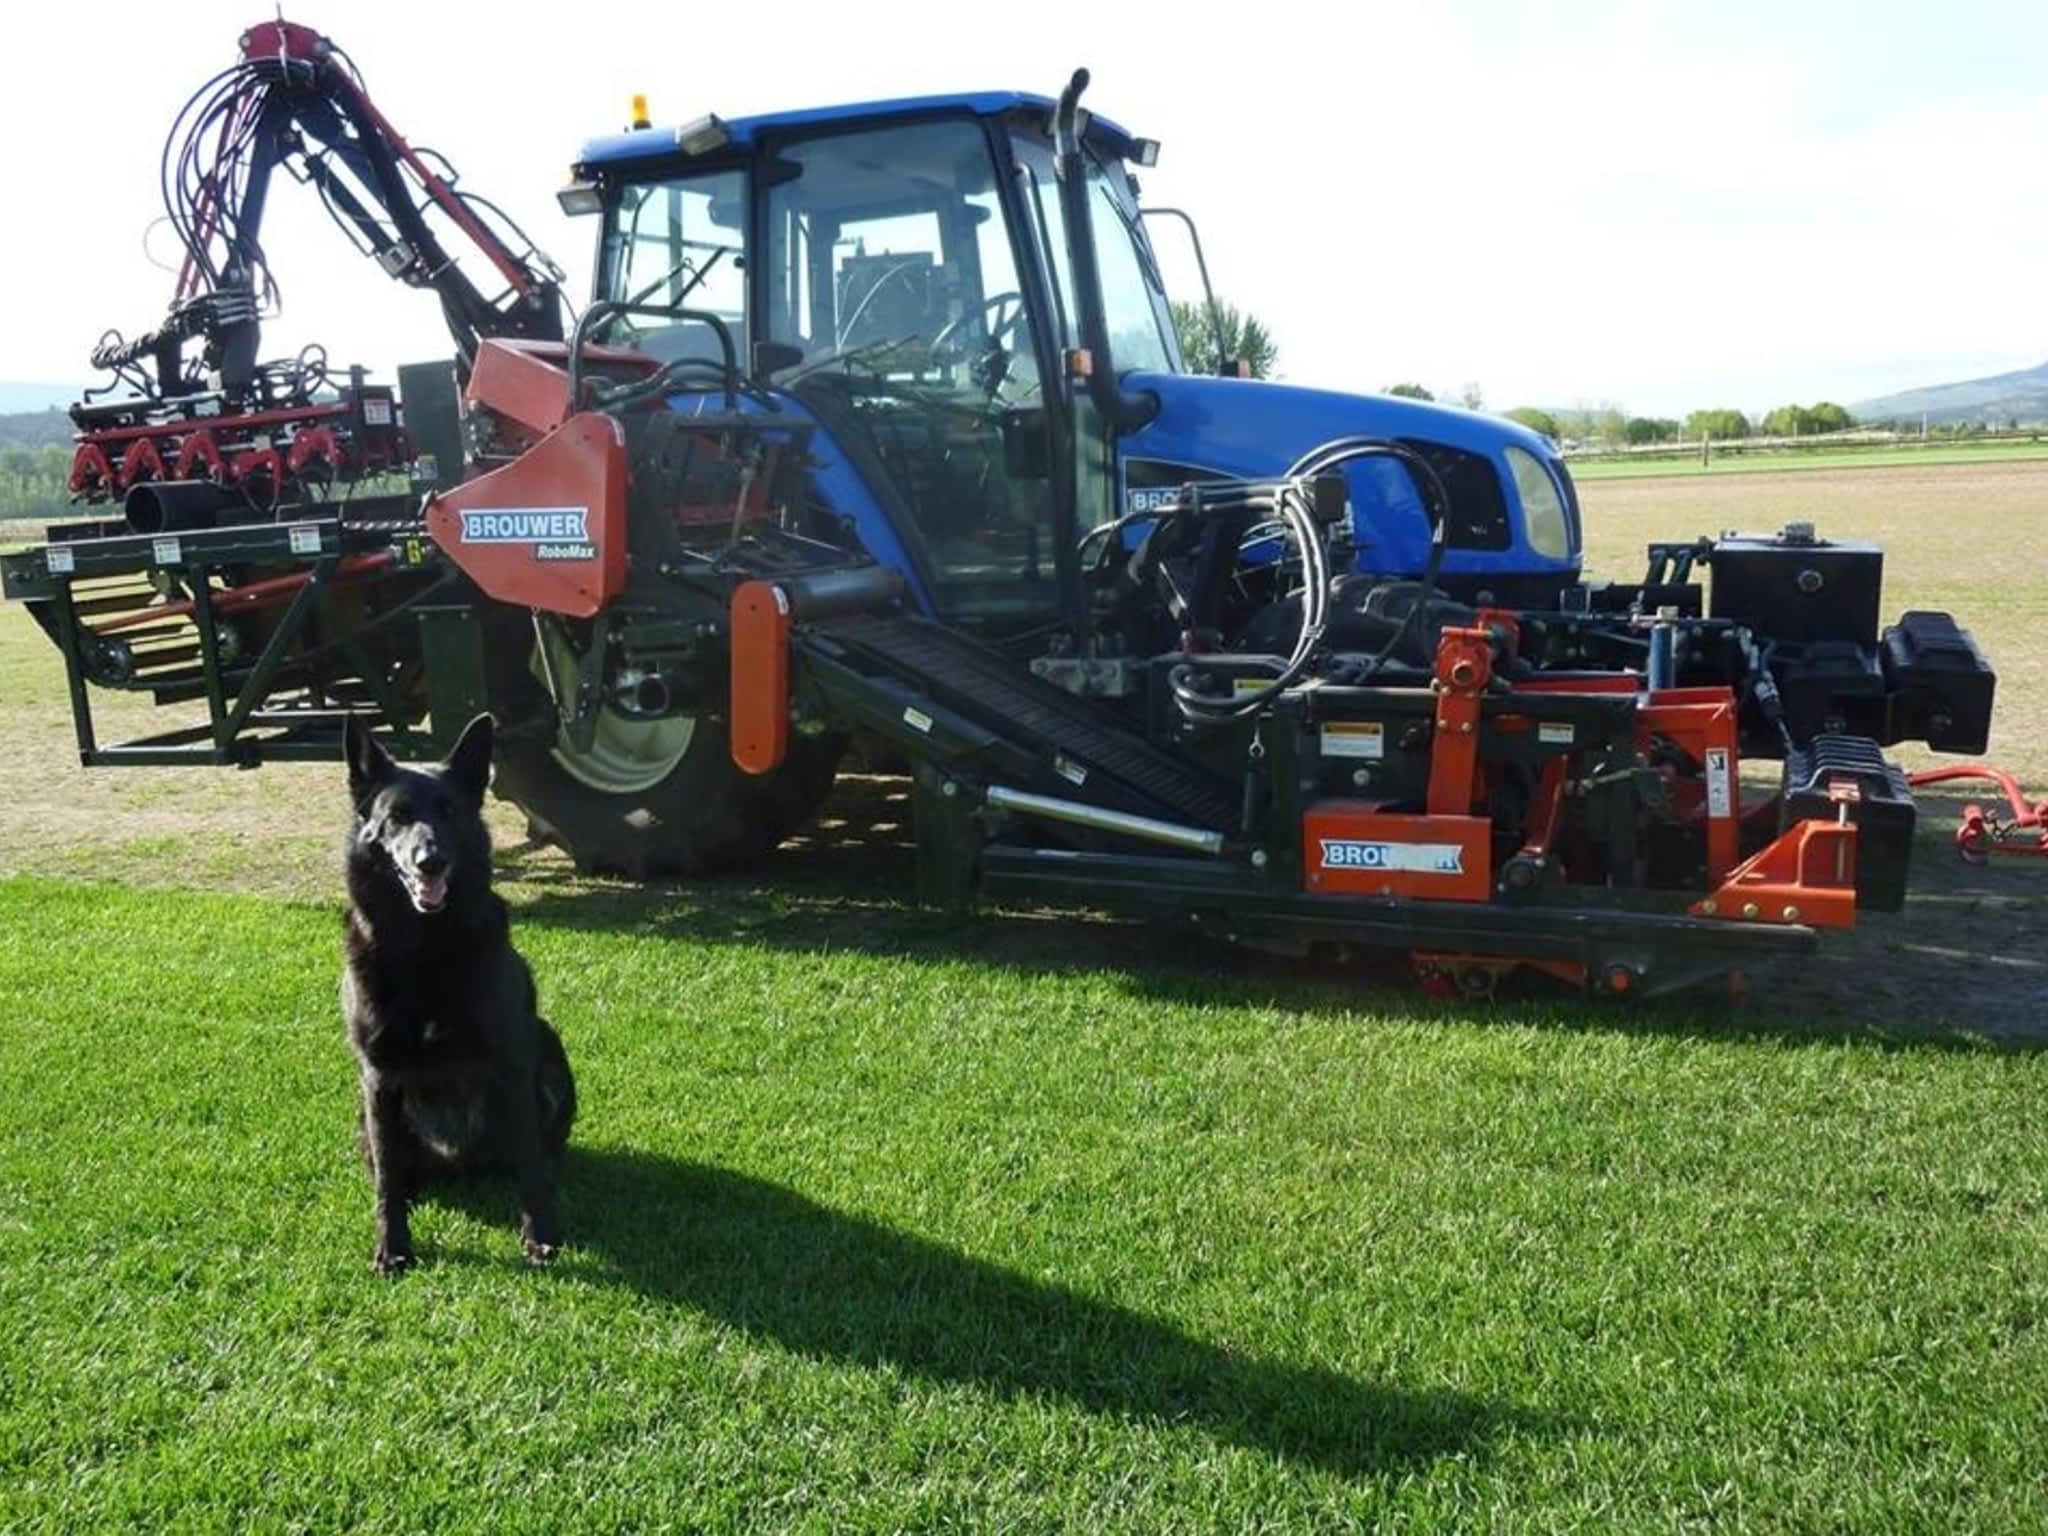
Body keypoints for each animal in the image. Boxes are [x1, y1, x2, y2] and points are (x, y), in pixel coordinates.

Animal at [339, 720, 573, 1277]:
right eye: (397, 816)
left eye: (449, 811)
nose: (431, 861)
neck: (426, 949)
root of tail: (461, 1163)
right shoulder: (378, 1077)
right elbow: (386, 1181)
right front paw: (394, 1247)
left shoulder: (512, 1064)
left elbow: (530, 1167)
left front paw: (541, 1237)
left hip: (550, 1049)